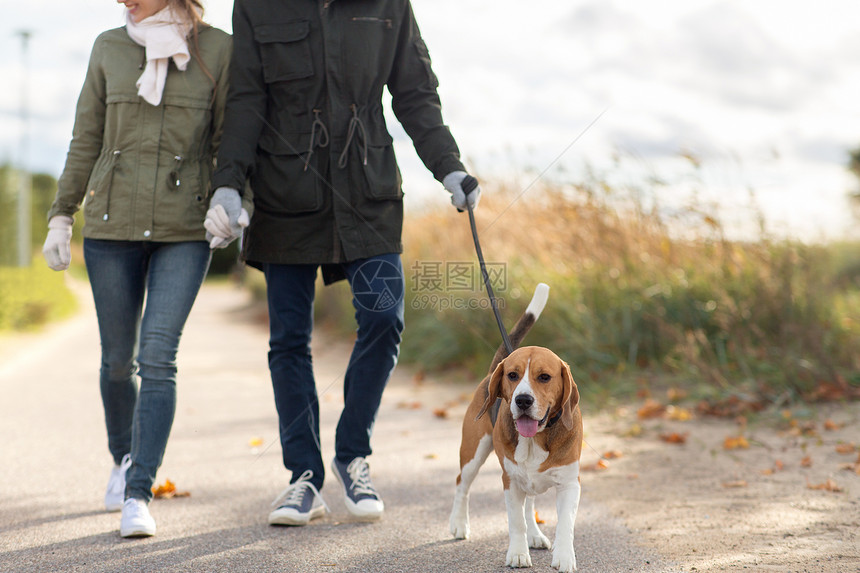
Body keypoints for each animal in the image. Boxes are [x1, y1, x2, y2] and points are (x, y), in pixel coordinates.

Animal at [450, 284, 584, 568]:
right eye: (512, 375)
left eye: (544, 377)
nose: (523, 400)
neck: (536, 439)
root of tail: (492, 371)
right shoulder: (509, 481)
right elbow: (516, 522)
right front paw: (518, 554)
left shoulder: (569, 484)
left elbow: (565, 525)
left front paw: (564, 557)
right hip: (473, 453)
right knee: (462, 484)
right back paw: (458, 524)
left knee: (529, 504)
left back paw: (535, 535)